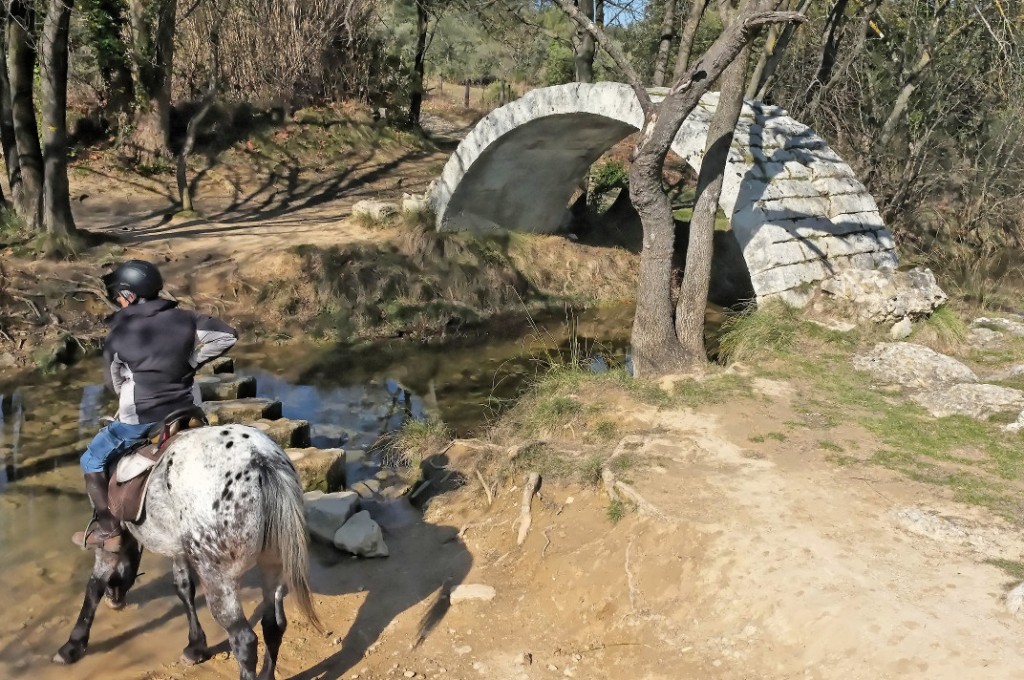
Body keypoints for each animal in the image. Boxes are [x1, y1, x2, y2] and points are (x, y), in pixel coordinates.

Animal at [51, 421, 321, 675]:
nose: (115, 600)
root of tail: (261, 460)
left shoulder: (111, 542)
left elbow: (94, 585)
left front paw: (72, 646)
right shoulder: (179, 548)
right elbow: (184, 589)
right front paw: (196, 646)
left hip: (219, 578)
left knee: (244, 640)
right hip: (273, 566)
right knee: (273, 626)